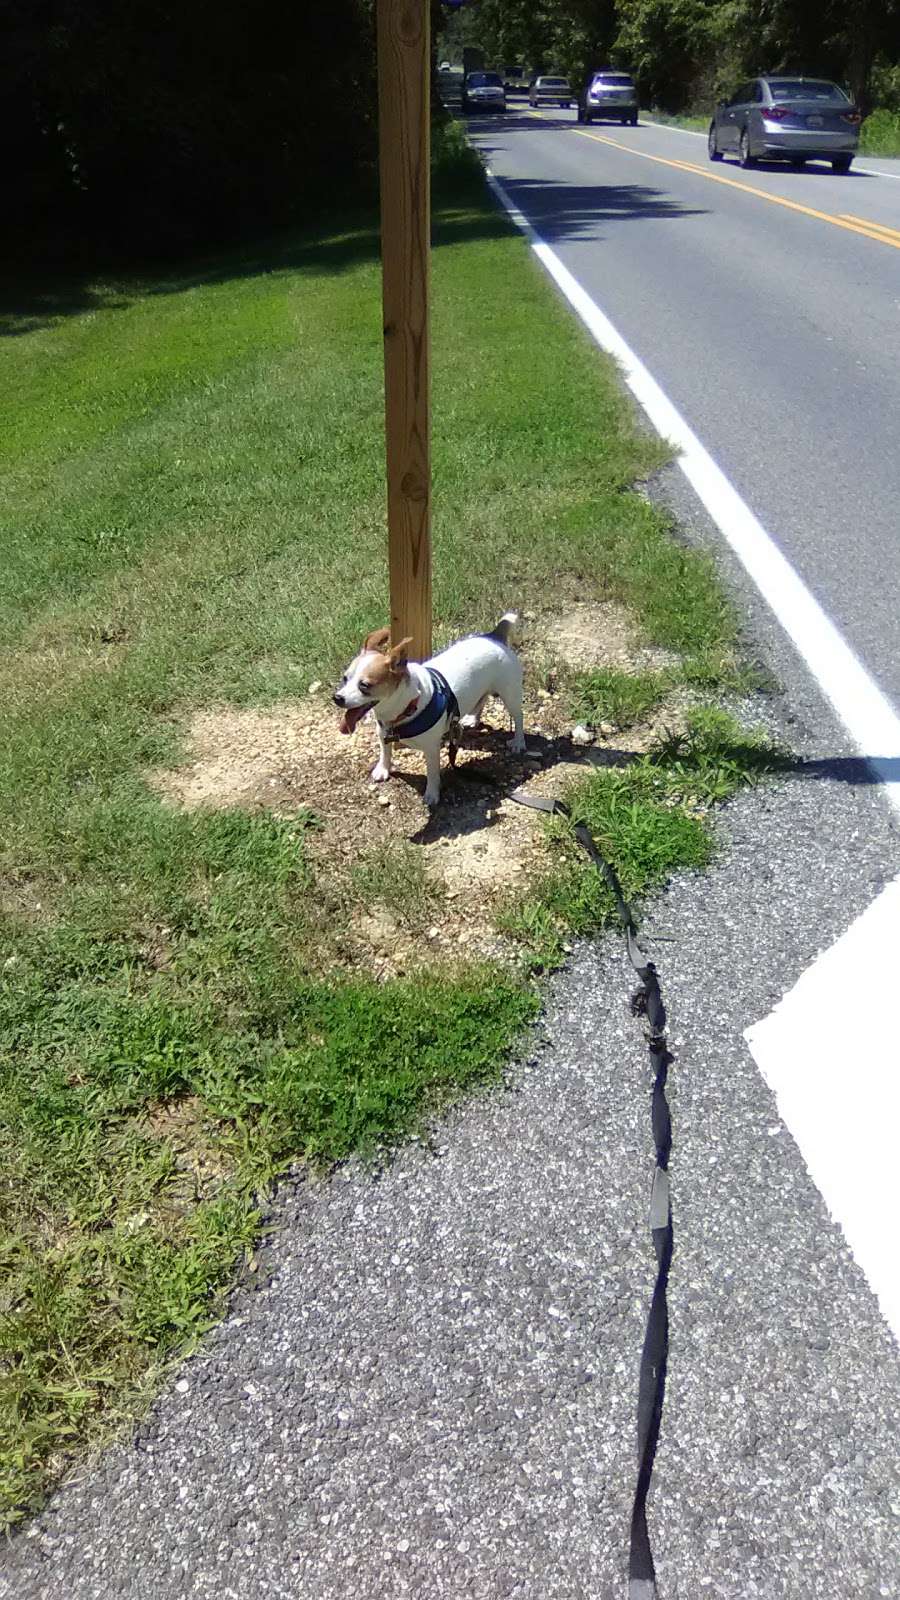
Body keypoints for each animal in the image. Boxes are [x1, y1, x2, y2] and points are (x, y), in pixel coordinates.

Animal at [333, 614, 522, 812]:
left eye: (364, 686)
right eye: (345, 678)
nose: (337, 698)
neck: (406, 707)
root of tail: (494, 635)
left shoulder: (431, 749)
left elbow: (432, 773)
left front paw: (432, 794)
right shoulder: (383, 731)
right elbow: (385, 751)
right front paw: (383, 769)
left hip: (510, 695)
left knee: (518, 717)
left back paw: (518, 742)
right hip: (483, 689)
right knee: (482, 699)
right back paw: (473, 719)